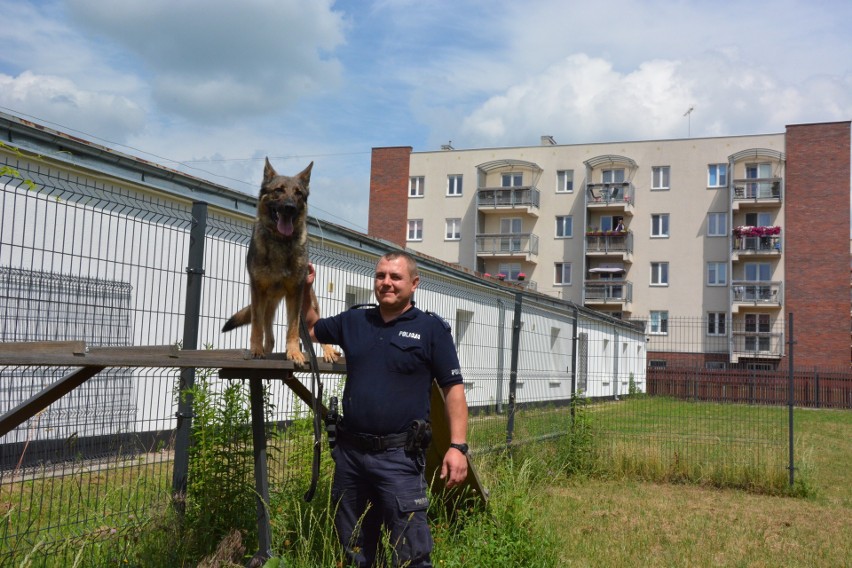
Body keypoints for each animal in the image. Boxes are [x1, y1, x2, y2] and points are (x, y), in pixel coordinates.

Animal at [225, 160, 338, 364]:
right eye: (279, 190)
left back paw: (328, 351)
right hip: (267, 307)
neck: (280, 241)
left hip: (309, 306)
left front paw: (294, 353)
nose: (290, 207)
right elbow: (256, 326)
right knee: (269, 337)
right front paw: (255, 350)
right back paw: (264, 351)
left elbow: (292, 329)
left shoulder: (295, 294)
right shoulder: (257, 291)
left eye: (298, 193)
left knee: (319, 330)